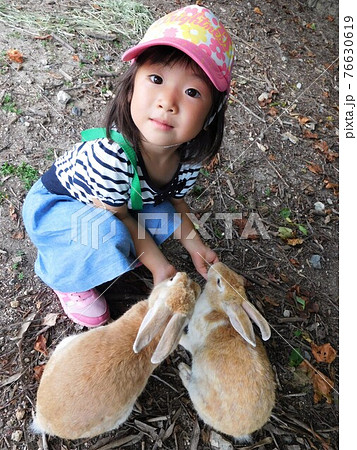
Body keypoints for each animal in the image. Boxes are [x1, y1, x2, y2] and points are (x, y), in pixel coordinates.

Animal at [178, 262, 276, 442]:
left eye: (218, 282)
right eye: (240, 279)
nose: (215, 265)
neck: (218, 310)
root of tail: (242, 432)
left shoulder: (192, 340)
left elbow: (184, 340)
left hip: (198, 392)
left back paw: (184, 371)